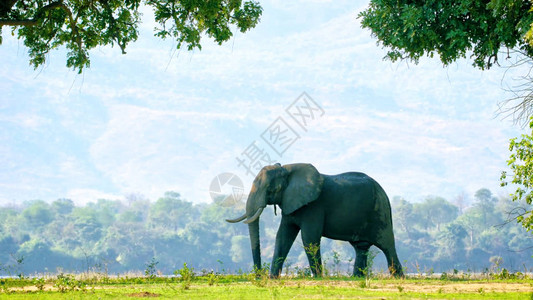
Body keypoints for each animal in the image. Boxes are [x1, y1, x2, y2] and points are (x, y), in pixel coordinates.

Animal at [225, 163, 404, 278]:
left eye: (271, 189)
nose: (258, 276)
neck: (287, 169)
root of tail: (383, 191)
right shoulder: (290, 204)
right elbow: (283, 236)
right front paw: (272, 278)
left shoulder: (314, 206)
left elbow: (309, 238)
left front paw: (317, 277)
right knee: (361, 247)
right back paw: (357, 278)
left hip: (380, 211)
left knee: (387, 245)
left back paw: (399, 277)